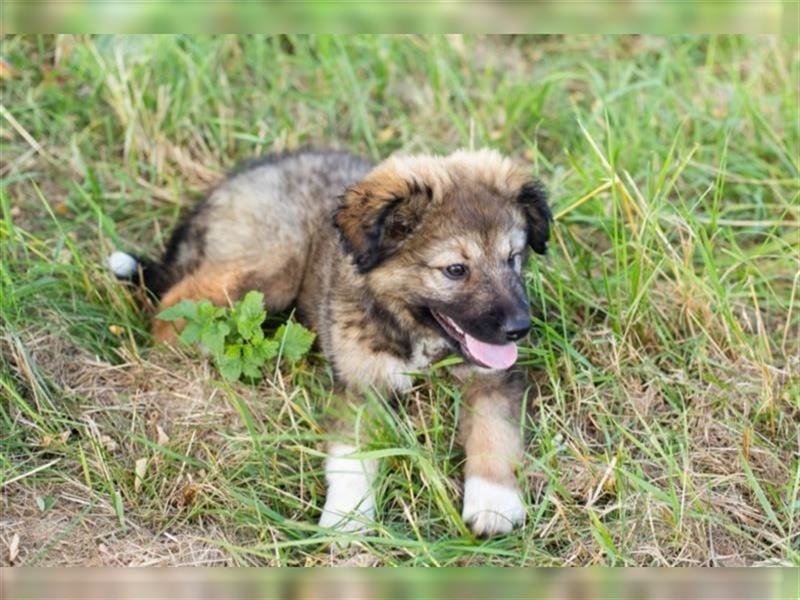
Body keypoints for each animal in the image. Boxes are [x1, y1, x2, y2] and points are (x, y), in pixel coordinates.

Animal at [111, 150, 552, 540]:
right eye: (456, 270)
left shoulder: (493, 378)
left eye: (513, 258)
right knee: (174, 304)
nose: (520, 328)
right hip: (274, 262)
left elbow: (495, 431)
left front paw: (493, 503)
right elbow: (353, 455)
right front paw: (349, 518)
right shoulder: (361, 385)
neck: (412, 328)